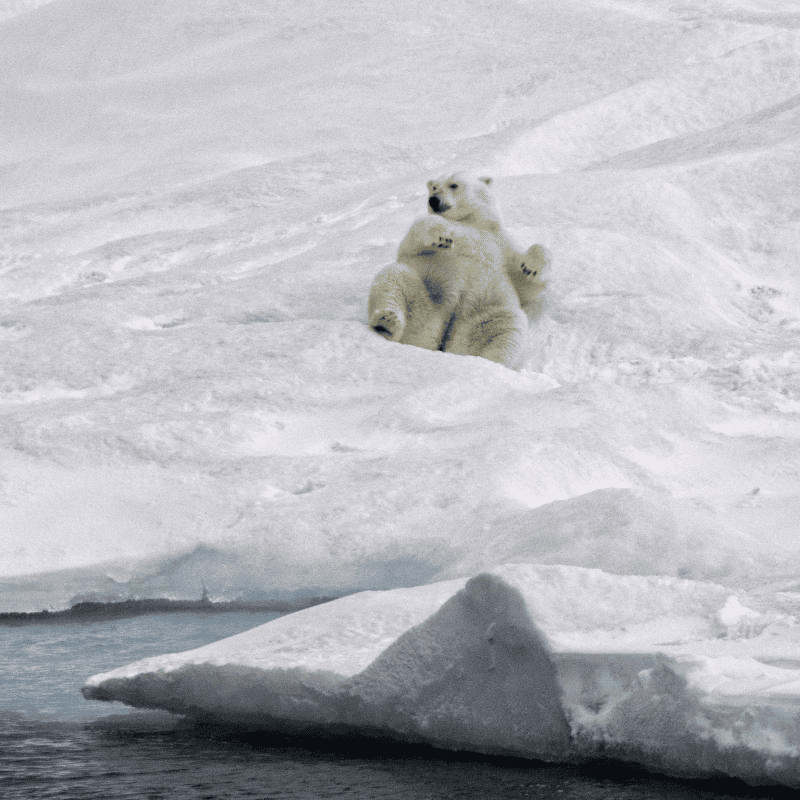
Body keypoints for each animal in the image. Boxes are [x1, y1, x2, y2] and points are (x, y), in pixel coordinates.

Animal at [367, 172, 549, 370]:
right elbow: (414, 238)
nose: (433, 200)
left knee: (507, 329)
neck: (471, 223)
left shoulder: (501, 244)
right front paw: (442, 237)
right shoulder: (419, 246)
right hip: (424, 297)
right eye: (434, 187)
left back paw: (490, 363)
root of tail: (443, 338)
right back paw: (386, 322)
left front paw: (531, 268)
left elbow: (524, 284)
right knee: (393, 278)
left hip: (482, 315)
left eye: (453, 185)